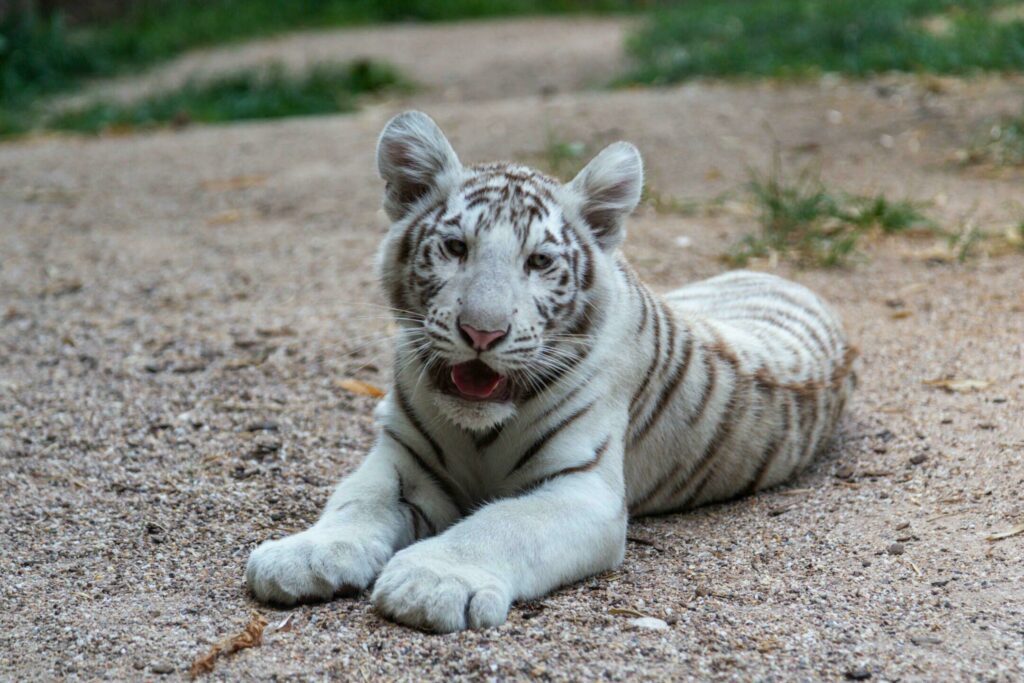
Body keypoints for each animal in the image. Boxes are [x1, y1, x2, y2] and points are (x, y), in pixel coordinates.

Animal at [247, 111, 856, 630]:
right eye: (455, 248)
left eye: (539, 262)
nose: (482, 333)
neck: (478, 428)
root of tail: (782, 276)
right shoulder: (404, 461)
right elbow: (357, 500)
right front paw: (303, 555)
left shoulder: (582, 489)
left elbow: (502, 525)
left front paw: (432, 582)